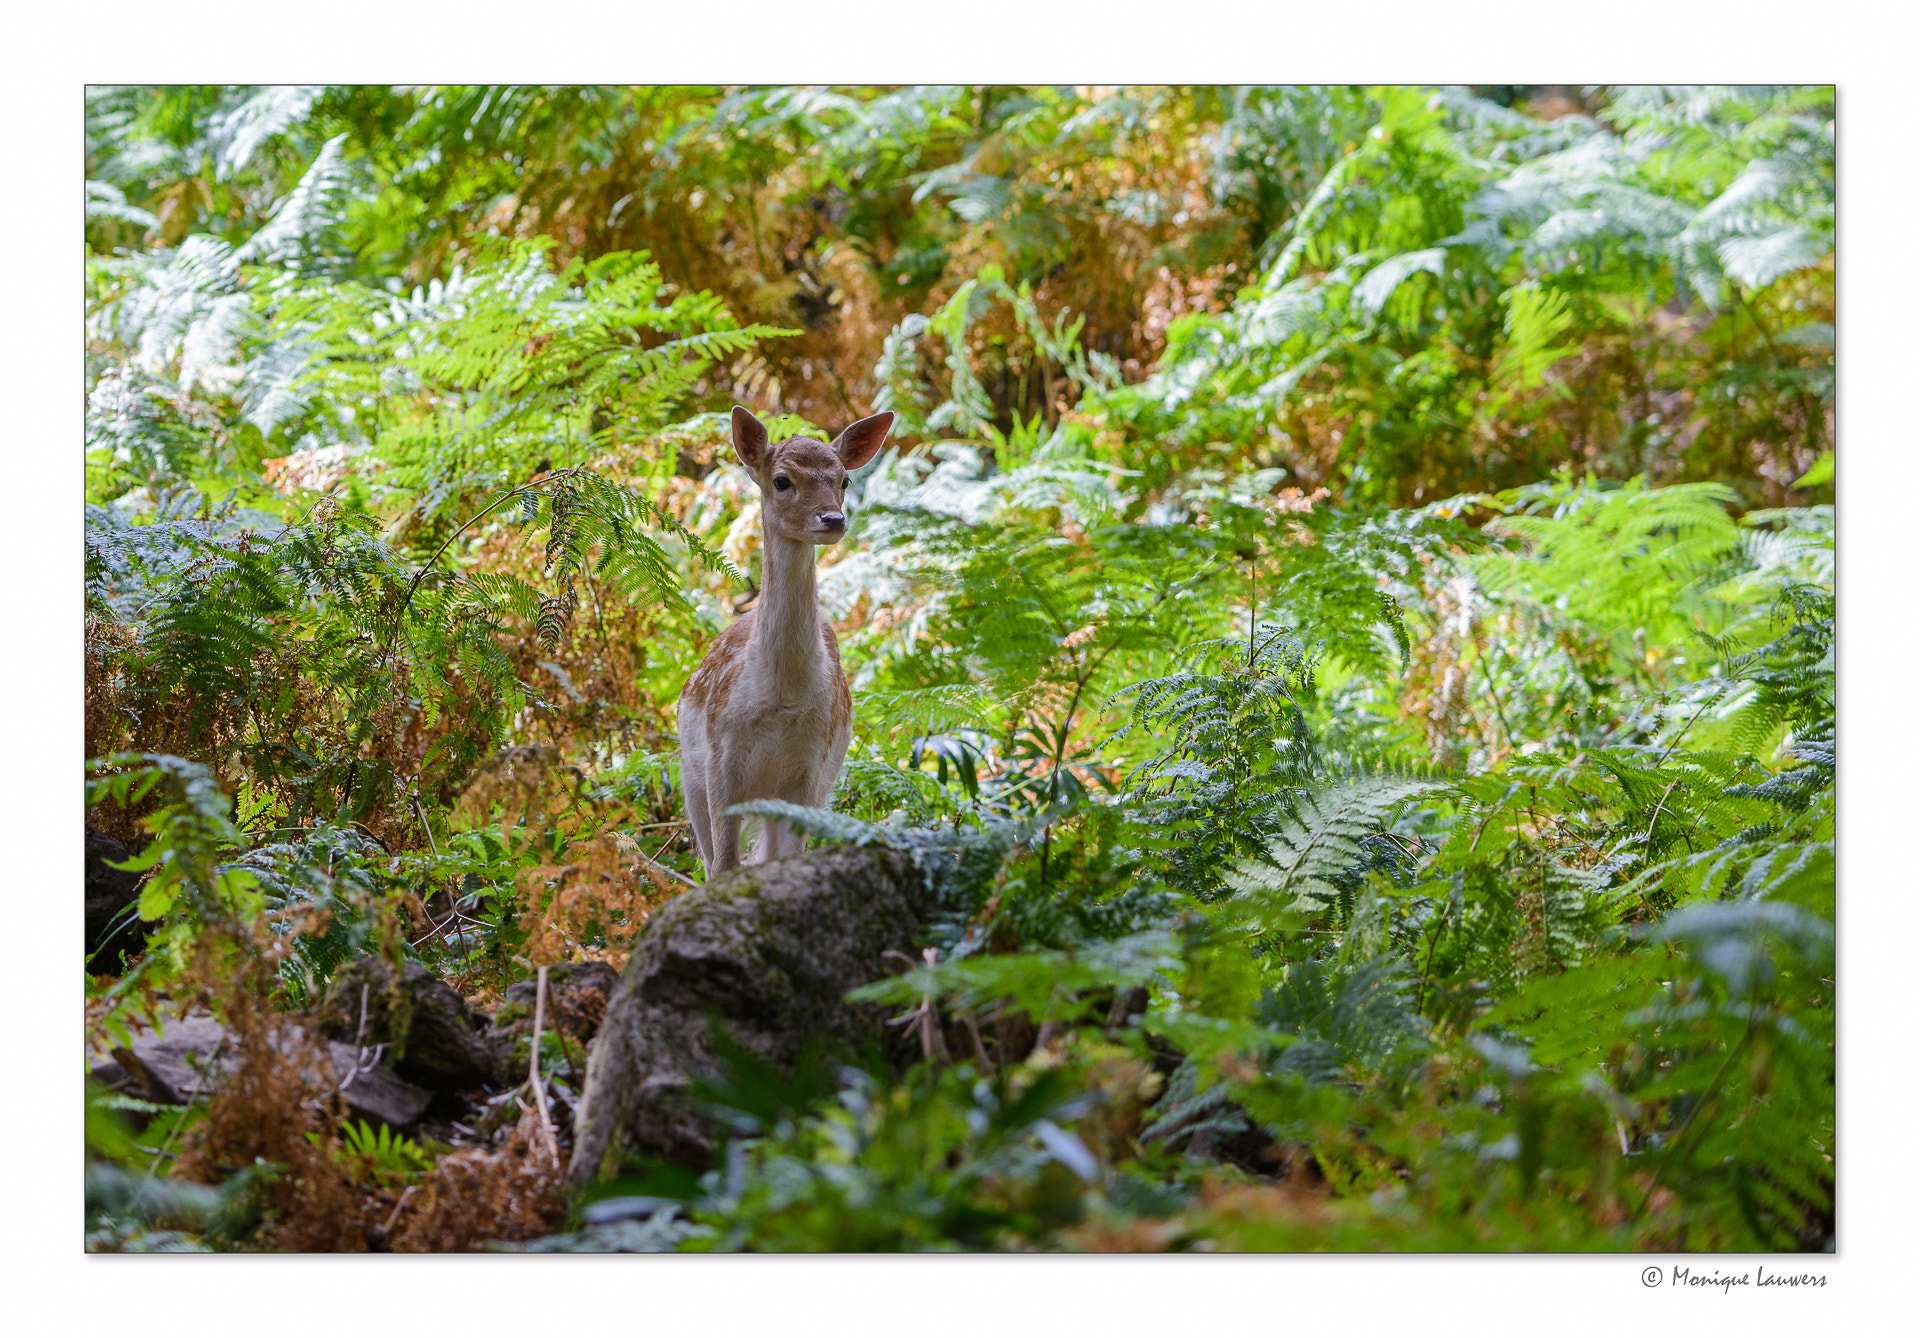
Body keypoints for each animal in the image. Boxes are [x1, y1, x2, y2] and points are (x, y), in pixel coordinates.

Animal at [677, 405, 895, 877]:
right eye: (781, 480)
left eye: (844, 480)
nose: (833, 520)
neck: (780, 703)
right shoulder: (720, 760)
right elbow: (723, 865)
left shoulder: (810, 770)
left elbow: (787, 859)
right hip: (689, 772)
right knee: (710, 861)